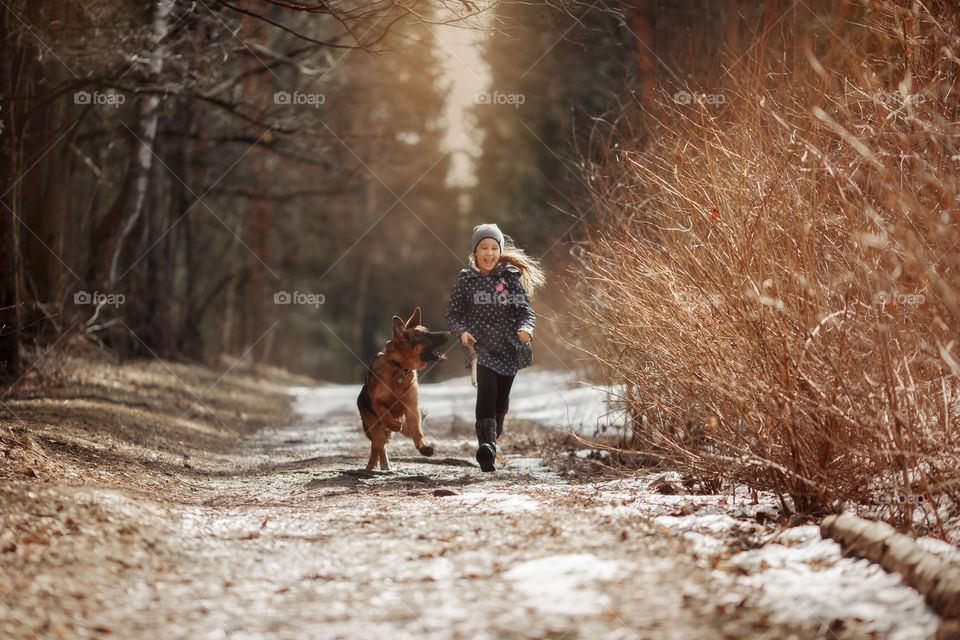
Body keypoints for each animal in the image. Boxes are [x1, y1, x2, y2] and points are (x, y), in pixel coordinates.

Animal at [358, 308, 452, 472]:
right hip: (372, 426)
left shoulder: (411, 407)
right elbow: (386, 416)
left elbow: (417, 432)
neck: (400, 367)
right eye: (425, 336)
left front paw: (423, 447)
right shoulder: (377, 402)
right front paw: (395, 424)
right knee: (377, 443)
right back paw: (373, 464)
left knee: (384, 442)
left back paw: (384, 465)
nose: (449, 333)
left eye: (428, 331)